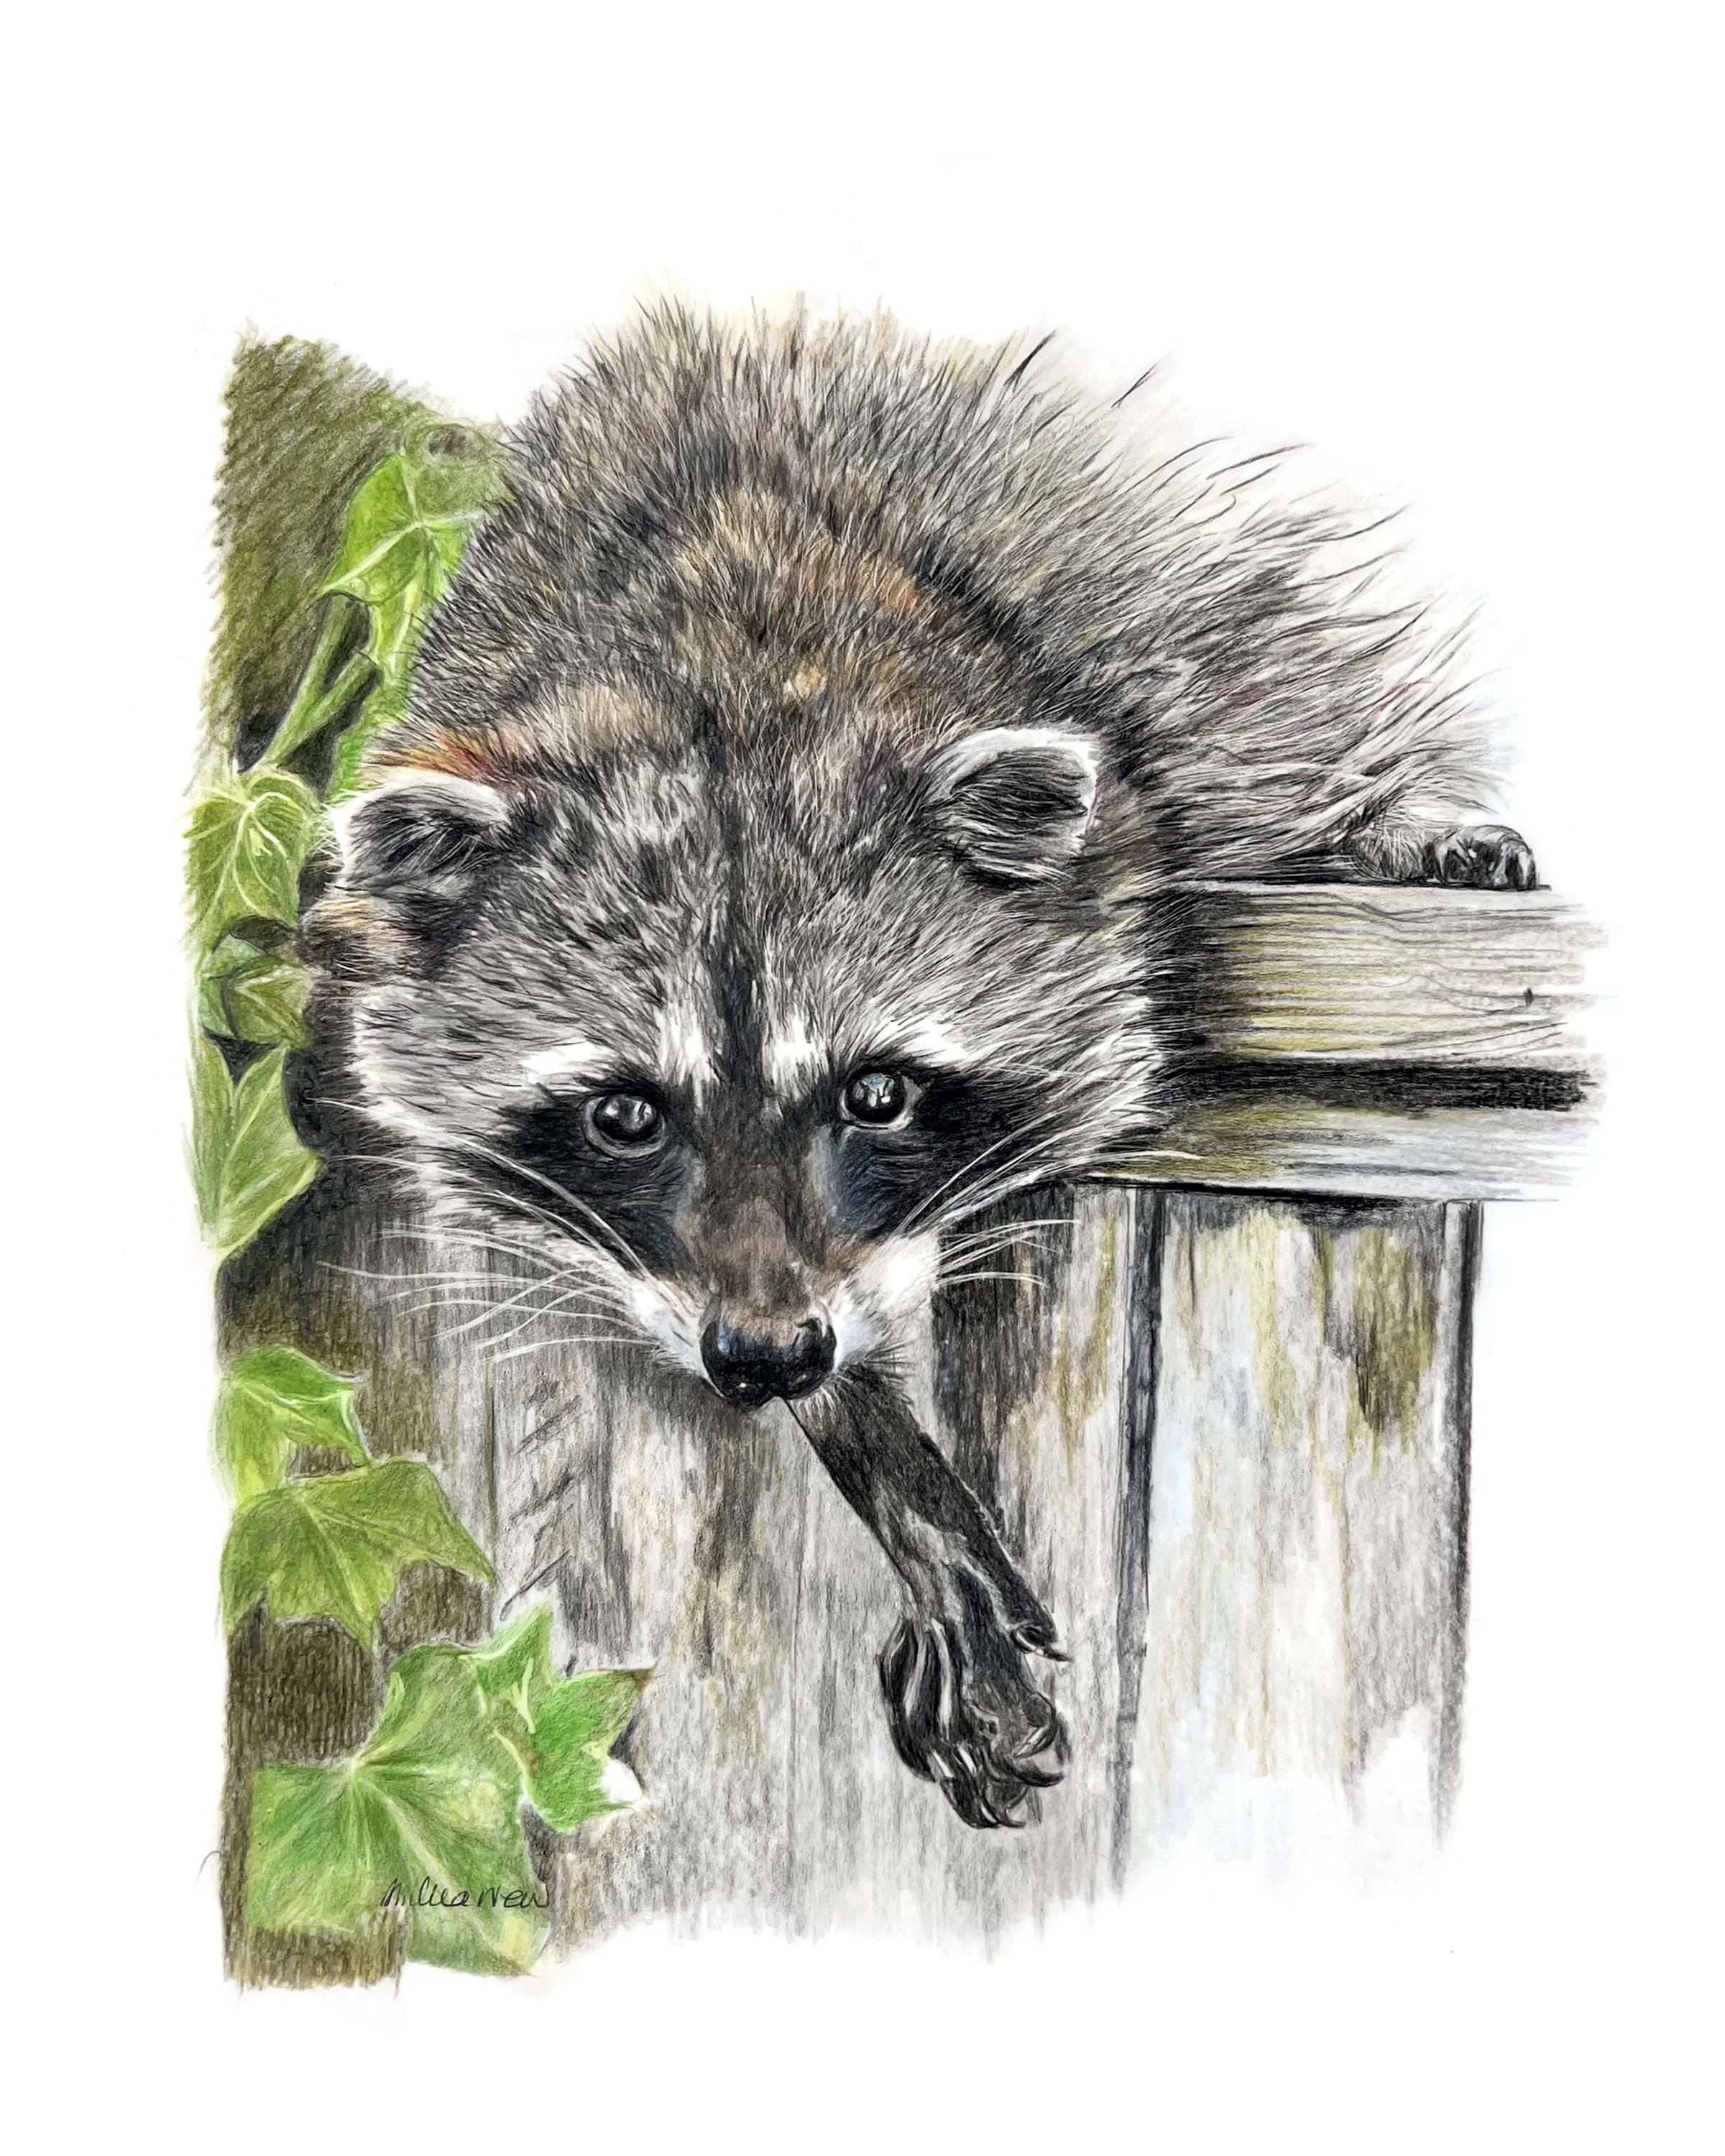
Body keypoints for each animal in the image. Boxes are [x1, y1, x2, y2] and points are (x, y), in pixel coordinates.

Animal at [311, 304, 1532, 1828]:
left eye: (878, 1095)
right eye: (623, 1114)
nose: (768, 1356)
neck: (727, 672)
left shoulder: (1157, 680)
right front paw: (887, 1461)